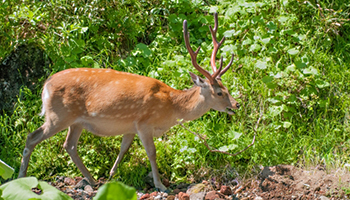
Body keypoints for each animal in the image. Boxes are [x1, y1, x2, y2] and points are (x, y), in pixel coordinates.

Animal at [17, 12, 241, 192]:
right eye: (219, 93)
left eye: (227, 88)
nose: (236, 105)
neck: (171, 107)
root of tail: (45, 85)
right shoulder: (144, 123)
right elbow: (152, 153)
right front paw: (160, 185)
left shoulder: (130, 127)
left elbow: (123, 149)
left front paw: (111, 175)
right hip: (58, 115)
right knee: (31, 137)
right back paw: (21, 177)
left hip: (76, 121)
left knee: (69, 145)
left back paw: (91, 179)